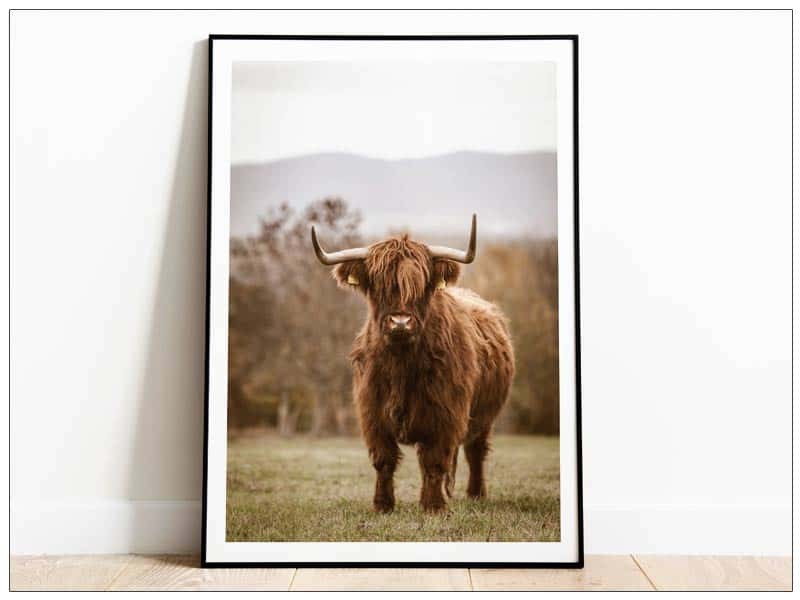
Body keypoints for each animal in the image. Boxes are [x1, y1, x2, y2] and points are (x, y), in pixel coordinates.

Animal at [311, 215, 515, 513]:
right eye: (378, 285)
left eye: (421, 285)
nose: (400, 322)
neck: (401, 363)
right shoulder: (372, 413)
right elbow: (384, 460)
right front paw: (383, 505)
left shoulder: (446, 413)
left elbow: (435, 460)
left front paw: (434, 506)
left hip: (484, 416)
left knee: (475, 451)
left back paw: (476, 494)